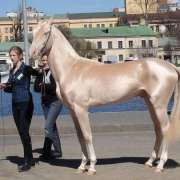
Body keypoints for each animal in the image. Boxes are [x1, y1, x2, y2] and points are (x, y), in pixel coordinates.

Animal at [29, 20, 180, 174]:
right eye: (33, 32)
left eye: (46, 33)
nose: (32, 53)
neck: (71, 68)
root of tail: (171, 67)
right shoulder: (72, 110)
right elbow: (80, 136)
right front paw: (82, 166)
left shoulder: (81, 109)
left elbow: (87, 135)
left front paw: (91, 167)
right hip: (150, 103)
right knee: (158, 129)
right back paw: (150, 162)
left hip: (159, 105)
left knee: (165, 129)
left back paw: (160, 165)